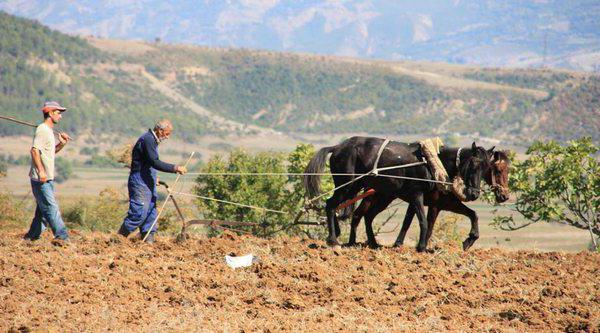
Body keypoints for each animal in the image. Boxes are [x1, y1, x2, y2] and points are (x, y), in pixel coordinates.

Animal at [304, 136, 492, 250]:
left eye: (487, 168)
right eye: (474, 165)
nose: (474, 194)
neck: (431, 163)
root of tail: (337, 147)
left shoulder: (438, 202)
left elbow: (472, 214)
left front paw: (470, 239)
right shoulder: (417, 195)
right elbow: (423, 221)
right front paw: (421, 247)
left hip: (366, 191)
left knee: (360, 214)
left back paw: (370, 243)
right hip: (348, 186)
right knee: (331, 205)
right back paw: (333, 240)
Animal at [346, 150, 510, 249]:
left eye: (508, 170)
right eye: (497, 170)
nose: (505, 196)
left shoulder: (441, 204)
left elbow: (472, 214)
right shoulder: (439, 204)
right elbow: (421, 224)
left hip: (384, 199)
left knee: (367, 215)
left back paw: (372, 243)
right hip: (375, 198)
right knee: (358, 215)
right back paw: (355, 242)